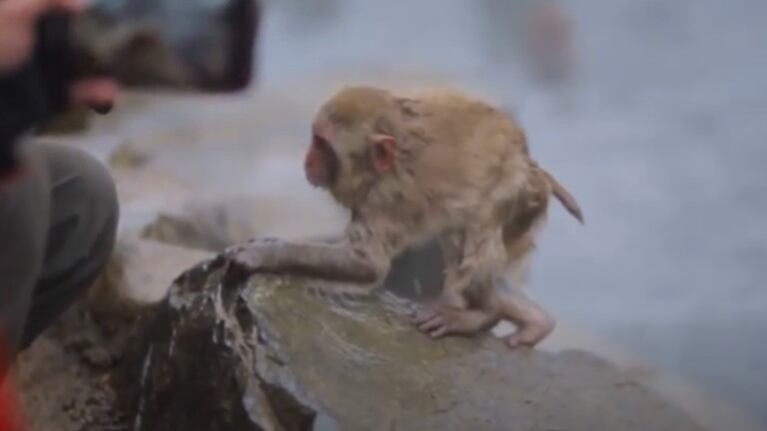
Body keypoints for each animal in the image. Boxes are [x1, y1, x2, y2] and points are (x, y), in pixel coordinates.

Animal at [231, 85, 584, 348]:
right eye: (314, 139)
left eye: (321, 144)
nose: (307, 160)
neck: (393, 157)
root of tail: (531, 164)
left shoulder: (386, 198)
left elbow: (368, 264)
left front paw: (266, 253)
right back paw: (530, 318)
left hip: (515, 191)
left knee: (479, 235)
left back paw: (482, 315)